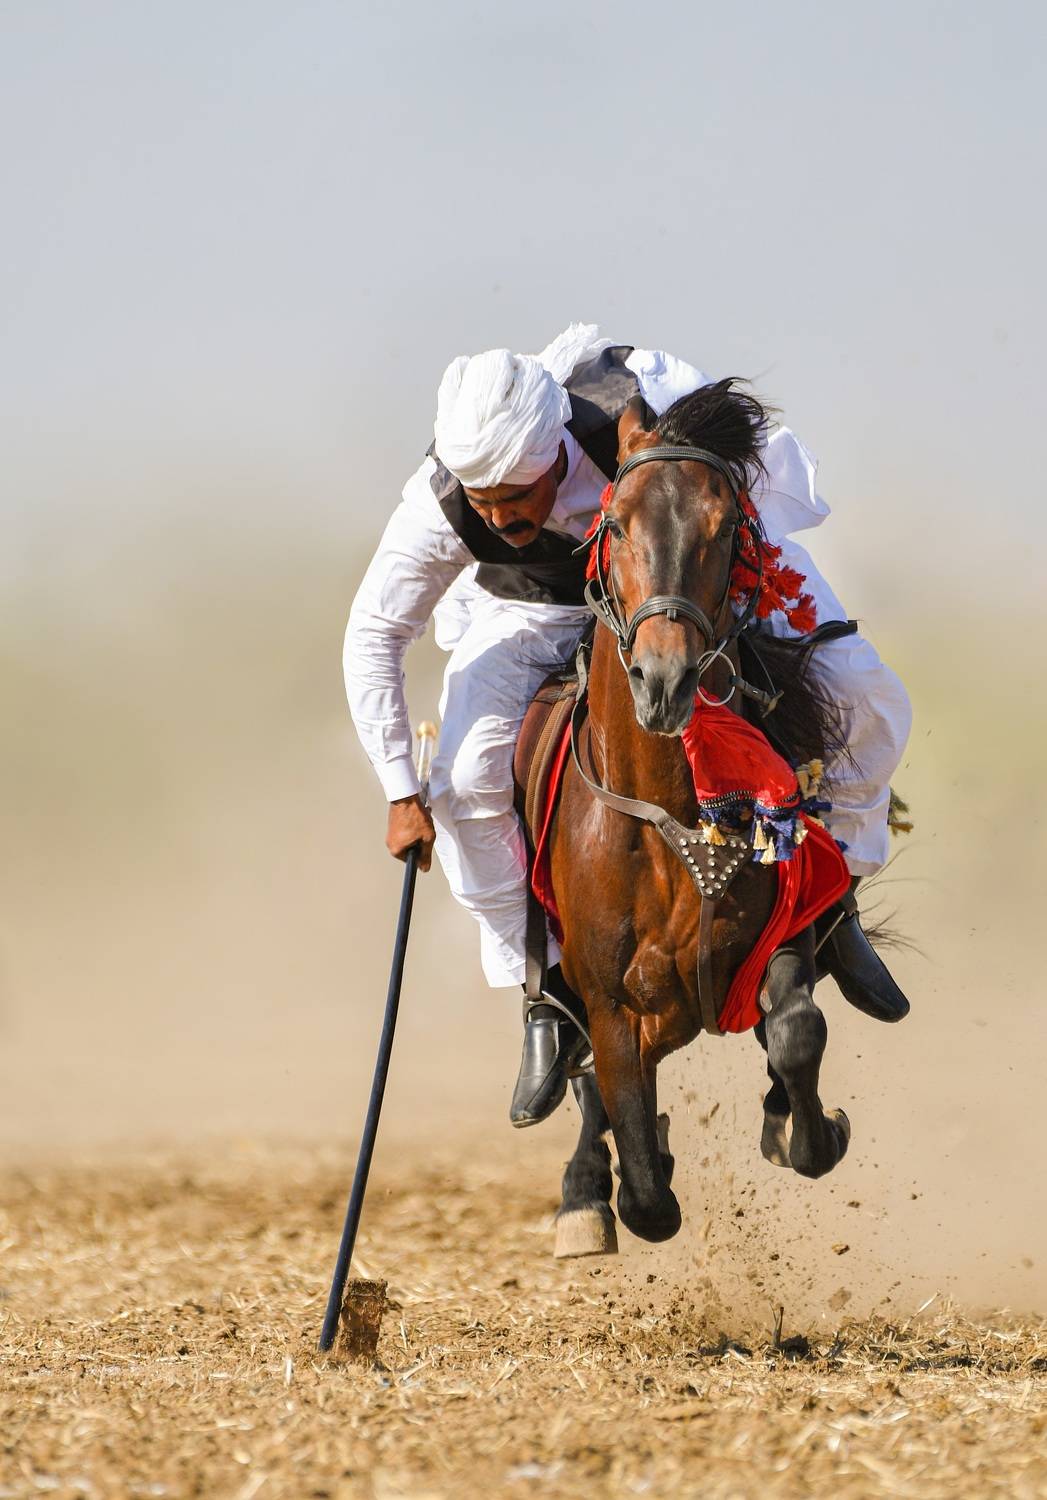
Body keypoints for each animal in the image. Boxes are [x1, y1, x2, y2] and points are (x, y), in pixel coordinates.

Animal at [541, 381, 854, 1255]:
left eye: (724, 529)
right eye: (615, 524)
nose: (664, 679)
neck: (672, 818)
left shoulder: (781, 931)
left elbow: (796, 1032)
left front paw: (806, 1131)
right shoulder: (609, 1002)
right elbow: (645, 1185)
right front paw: (625, 1174)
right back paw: (584, 1192)